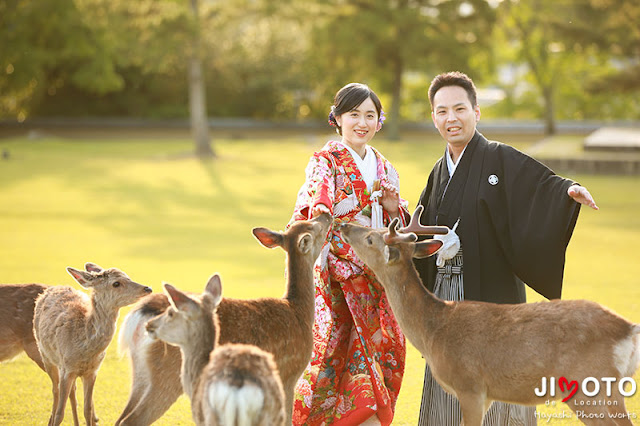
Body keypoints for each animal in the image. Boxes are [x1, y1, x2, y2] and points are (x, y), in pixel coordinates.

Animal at [33, 262, 152, 426]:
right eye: (116, 283)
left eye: (128, 276)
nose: (147, 288)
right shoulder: (66, 368)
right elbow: (60, 413)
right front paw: (55, 420)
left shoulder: (93, 371)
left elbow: (87, 409)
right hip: (46, 356)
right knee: (55, 391)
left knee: (73, 392)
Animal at [342, 207, 640, 426]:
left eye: (371, 238)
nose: (344, 226)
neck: (434, 332)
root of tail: (628, 329)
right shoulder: (487, 395)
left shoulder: (470, 386)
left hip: (591, 385)